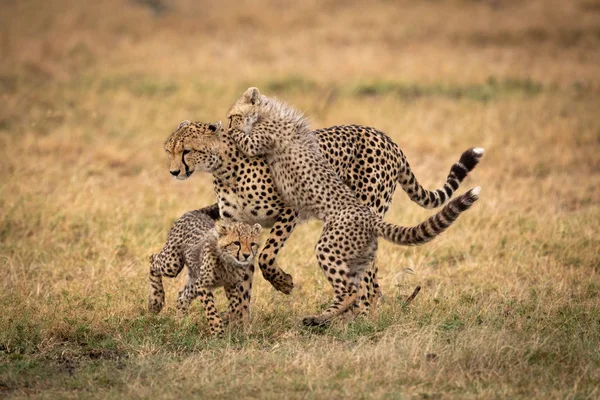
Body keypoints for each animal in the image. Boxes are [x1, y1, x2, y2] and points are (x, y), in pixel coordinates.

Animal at [148, 206, 260, 334]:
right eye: (236, 243)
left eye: (252, 244)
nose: (246, 255)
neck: (229, 262)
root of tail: (196, 212)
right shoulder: (203, 285)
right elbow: (211, 310)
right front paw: (218, 332)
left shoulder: (231, 285)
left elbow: (235, 304)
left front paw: (230, 320)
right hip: (172, 264)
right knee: (152, 258)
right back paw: (155, 301)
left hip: (194, 278)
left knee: (182, 297)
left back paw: (180, 323)